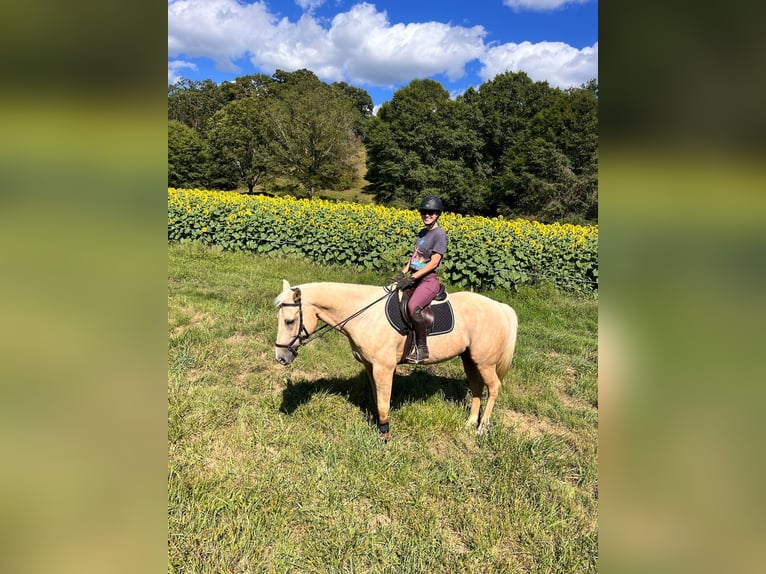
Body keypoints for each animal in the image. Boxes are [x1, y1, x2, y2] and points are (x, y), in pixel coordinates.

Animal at [274, 280, 518, 440]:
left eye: (289, 321)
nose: (281, 358)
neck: (365, 315)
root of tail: (500, 307)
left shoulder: (384, 368)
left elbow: (384, 403)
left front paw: (385, 436)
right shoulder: (371, 366)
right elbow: (377, 399)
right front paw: (379, 426)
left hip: (485, 362)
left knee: (494, 387)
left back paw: (482, 428)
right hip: (470, 359)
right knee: (477, 387)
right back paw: (470, 423)